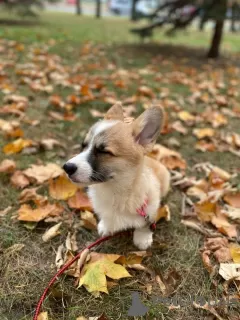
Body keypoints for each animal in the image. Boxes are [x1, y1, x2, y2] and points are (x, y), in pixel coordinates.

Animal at [62, 102, 170, 250]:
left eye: (103, 151)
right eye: (83, 146)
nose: (66, 167)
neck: (114, 190)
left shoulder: (149, 209)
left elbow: (144, 225)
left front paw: (142, 238)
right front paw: (106, 226)